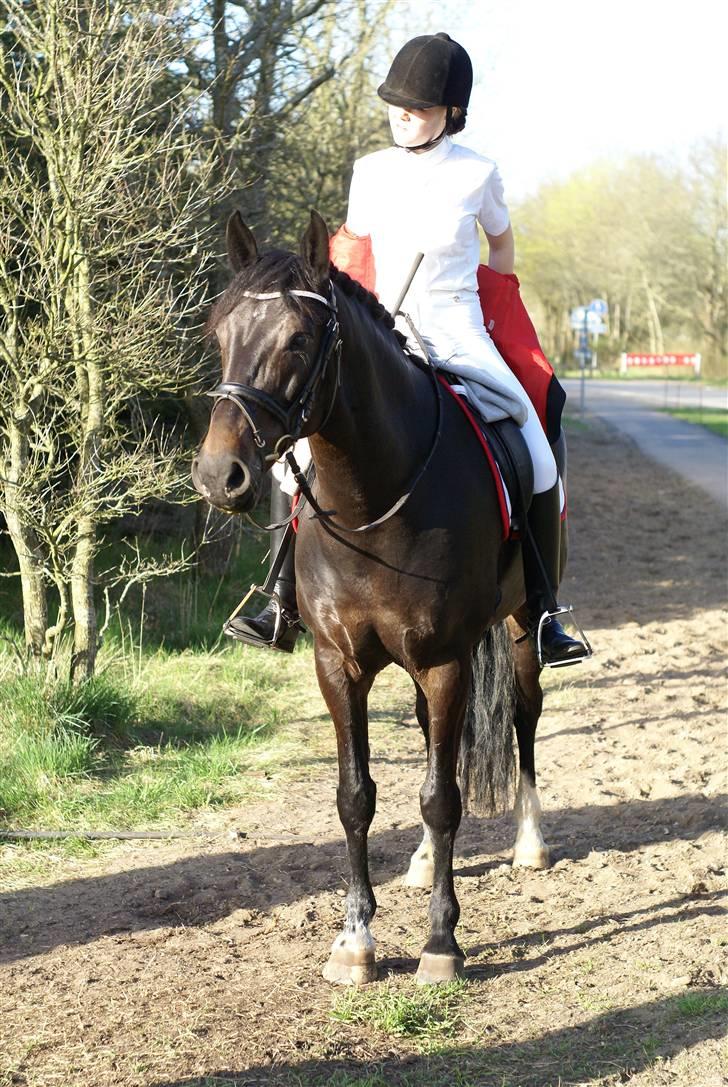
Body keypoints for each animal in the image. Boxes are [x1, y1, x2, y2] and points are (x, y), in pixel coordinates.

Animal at [191, 209, 556, 986]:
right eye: (218, 332)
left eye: (298, 340)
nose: (219, 475)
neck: (374, 499)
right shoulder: (339, 664)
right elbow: (356, 796)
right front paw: (356, 938)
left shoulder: (446, 661)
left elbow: (442, 797)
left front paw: (441, 943)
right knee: (430, 738)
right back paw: (419, 863)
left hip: (519, 630)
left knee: (523, 715)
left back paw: (529, 841)